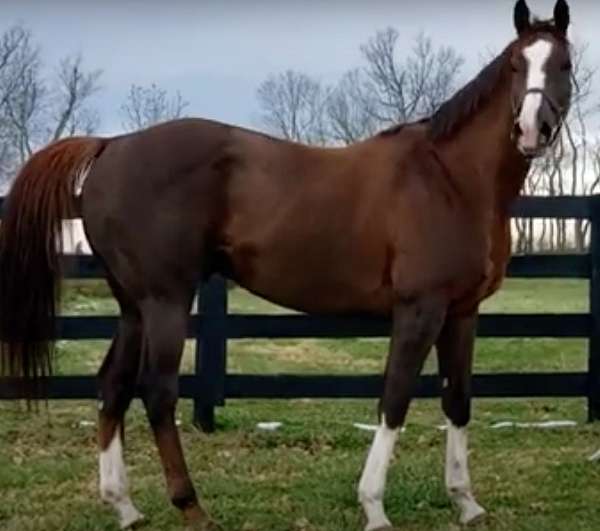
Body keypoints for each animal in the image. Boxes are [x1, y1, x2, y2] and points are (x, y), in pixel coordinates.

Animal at [0, 0, 572, 528]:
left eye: (563, 64)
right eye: (516, 65)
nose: (532, 130)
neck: (449, 178)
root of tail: (111, 144)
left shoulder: (462, 312)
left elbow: (458, 401)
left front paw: (466, 502)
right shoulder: (419, 309)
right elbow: (394, 399)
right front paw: (374, 506)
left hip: (133, 306)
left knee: (113, 386)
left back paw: (124, 506)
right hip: (166, 301)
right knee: (157, 392)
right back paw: (191, 507)